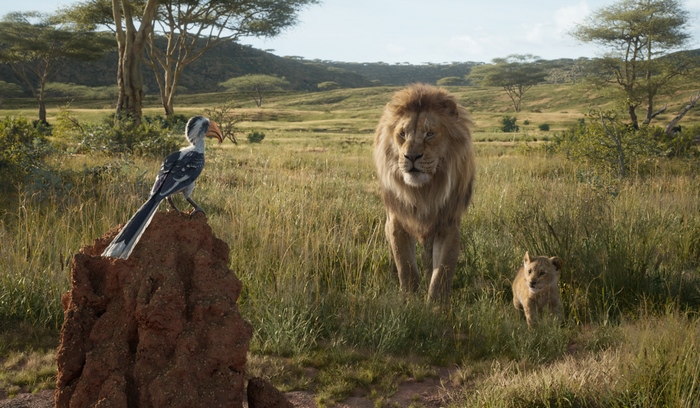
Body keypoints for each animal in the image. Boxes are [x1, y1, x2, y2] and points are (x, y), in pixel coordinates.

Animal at [373, 83, 475, 304]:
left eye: (429, 134)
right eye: (402, 134)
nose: (411, 156)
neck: (424, 192)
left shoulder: (449, 225)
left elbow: (442, 272)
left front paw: (436, 306)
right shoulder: (397, 221)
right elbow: (406, 266)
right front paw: (409, 301)